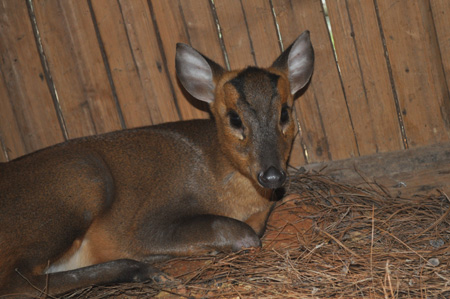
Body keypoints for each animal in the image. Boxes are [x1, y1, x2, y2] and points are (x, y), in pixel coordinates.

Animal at [0, 30, 312, 298]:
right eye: (235, 118)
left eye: (285, 113)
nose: (272, 175)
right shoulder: (145, 222)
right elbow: (244, 234)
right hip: (80, 180)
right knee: (17, 280)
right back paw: (144, 270)